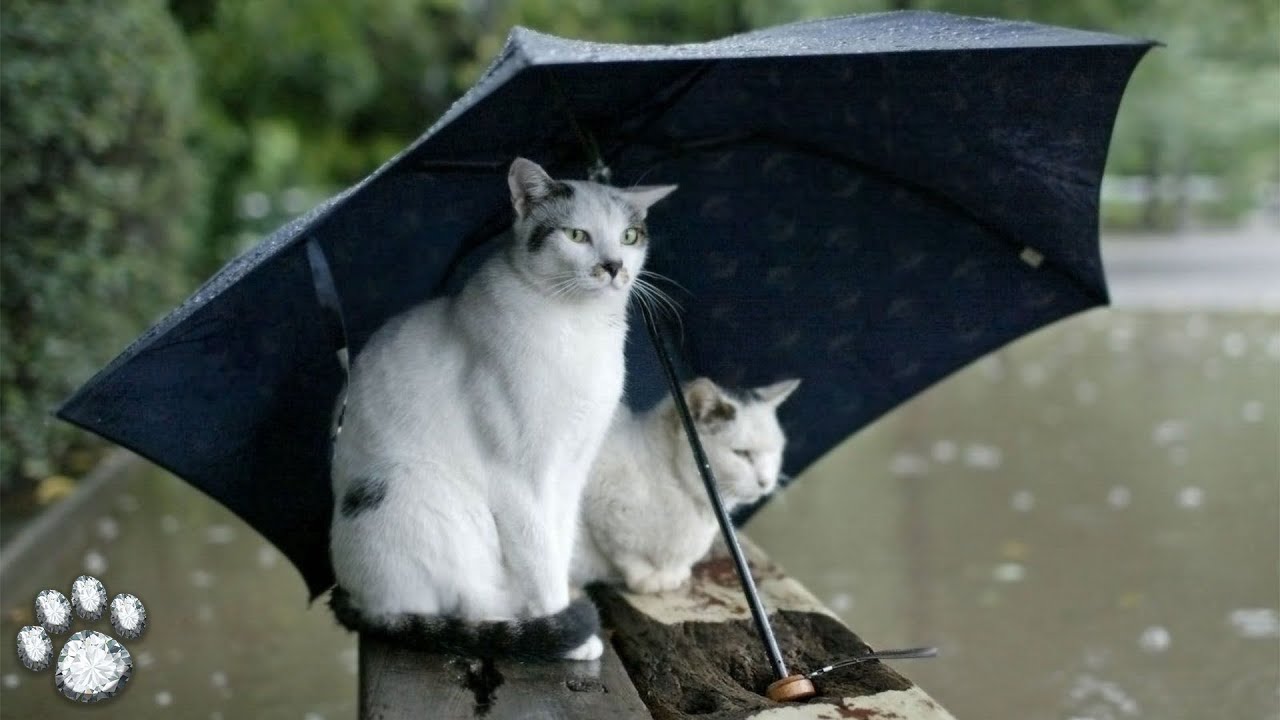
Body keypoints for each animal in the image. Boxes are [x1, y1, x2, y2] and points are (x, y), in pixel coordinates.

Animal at [327, 155, 680, 655]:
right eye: (577, 235)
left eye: (629, 237)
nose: (614, 267)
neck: (580, 328)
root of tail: (359, 598)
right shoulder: (519, 479)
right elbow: (539, 557)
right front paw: (566, 629)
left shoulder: (572, 470)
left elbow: (558, 543)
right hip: (428, 497)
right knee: (469, 606)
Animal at [573, 371, 793, 591]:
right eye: (742, 453)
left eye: (775, 451)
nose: (766, 482)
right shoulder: (599, 503)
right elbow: (625, 553)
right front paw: (647, 578)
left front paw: (672, 574)